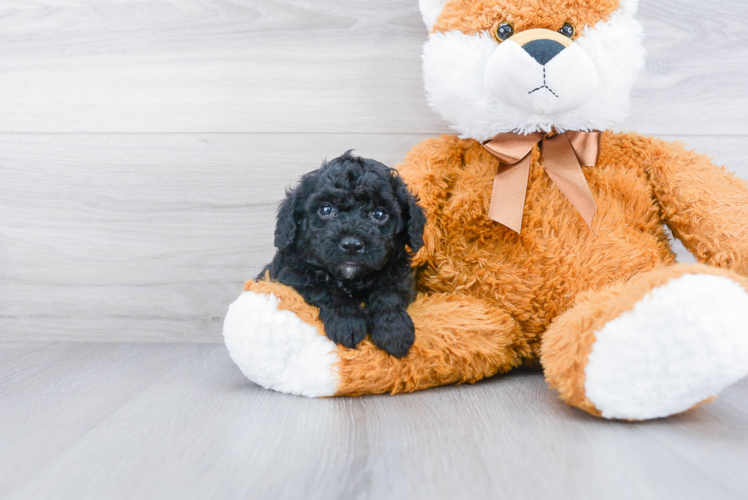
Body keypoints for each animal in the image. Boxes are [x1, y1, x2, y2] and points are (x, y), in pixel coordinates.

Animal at [260, 150, 426, 358]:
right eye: (326, 209)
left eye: (379, 214)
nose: (352, 245)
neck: (350, 280)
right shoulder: (292, 274)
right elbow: (325, 290)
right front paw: (348, 324)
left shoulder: (400, 276)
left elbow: (389, 294)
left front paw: (394, 331)